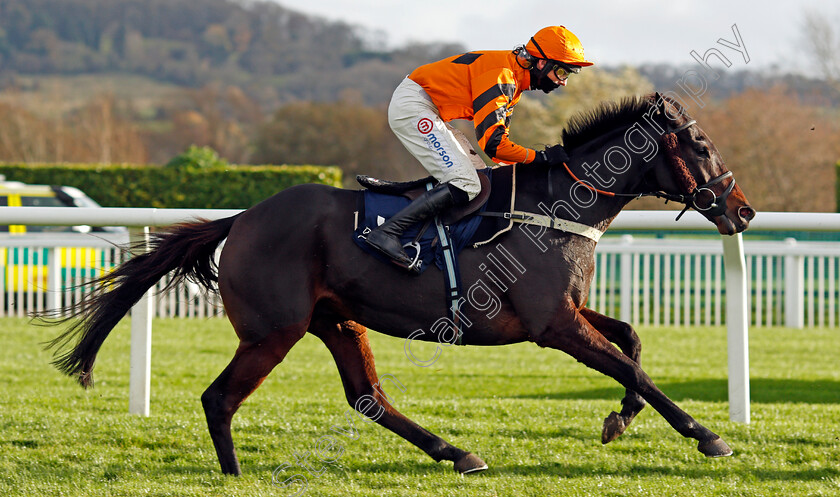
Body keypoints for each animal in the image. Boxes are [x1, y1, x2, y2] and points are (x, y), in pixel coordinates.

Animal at [44, 91, 756, 474]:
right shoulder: (551, 325)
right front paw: (707, 435)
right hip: (274, 331)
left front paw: (618, 421)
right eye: (699, 146)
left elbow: (631, 342)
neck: (557, 205)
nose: (743, 211)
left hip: (337, 321)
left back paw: (456, 452)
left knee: (367, 397)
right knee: (220, 399)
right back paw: (235, 471)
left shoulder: (567, 312)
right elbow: (632, 365)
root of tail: (241, 218)